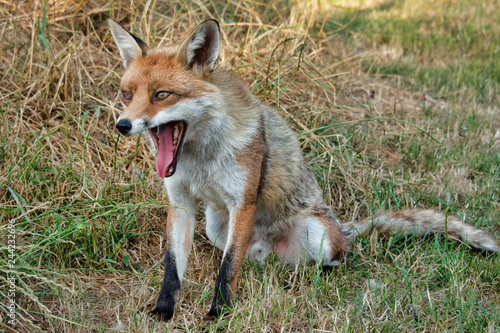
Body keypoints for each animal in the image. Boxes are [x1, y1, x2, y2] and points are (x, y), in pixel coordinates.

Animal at [107, 18, 498, 322]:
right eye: (127, 94)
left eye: (161, 95)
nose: (122, 125)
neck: (200, 159)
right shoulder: (181, 202)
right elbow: (173, 267)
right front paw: (164, 310)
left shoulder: (243, 202)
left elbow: (227, 268)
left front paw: (219, 312)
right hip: (217, 226)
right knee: (257, 259)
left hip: (316, 233)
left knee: (334, 255)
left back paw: (324, 271)